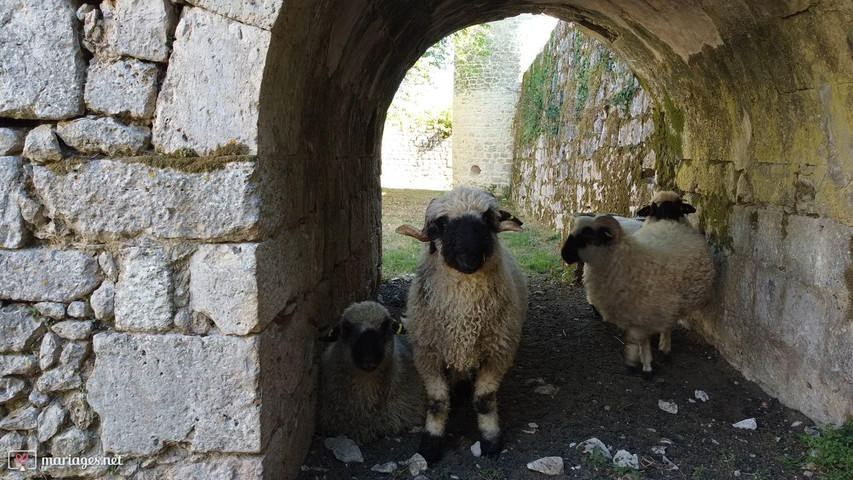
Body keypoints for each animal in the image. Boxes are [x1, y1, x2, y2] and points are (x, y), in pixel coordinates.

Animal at [396, 185, 527, 463]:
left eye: (487, 219)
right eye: (442, 224)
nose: (469, 260)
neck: (464, 317)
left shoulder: (499, 353)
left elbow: (485, 400)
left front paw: (491, 441)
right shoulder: (427, 354)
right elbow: (437, 402)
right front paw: (431, 445)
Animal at [560, 213, 713, 378]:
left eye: (587, 236)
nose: (564, 255)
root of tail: (673, 223)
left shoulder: (647, 313)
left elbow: (639, 337)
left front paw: (645, 365)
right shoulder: (633, 314)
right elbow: (638, 340)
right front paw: (638, 361)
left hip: (672, 305)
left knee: (668, 326)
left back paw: (665, 347)